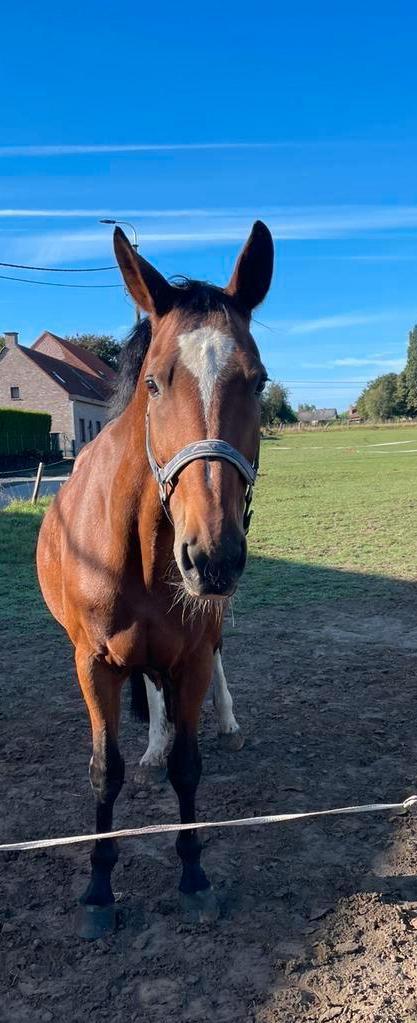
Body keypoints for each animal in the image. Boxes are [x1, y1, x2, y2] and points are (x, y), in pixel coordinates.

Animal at [36, 219, 274, 937]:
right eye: (154, 384)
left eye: (257, 381)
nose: (213, 556)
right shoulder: (93, 663)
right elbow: (104, 770)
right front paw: (98, 889)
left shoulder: (191, 653)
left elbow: (187, 766)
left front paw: (193, 876)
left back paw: (221, 721)